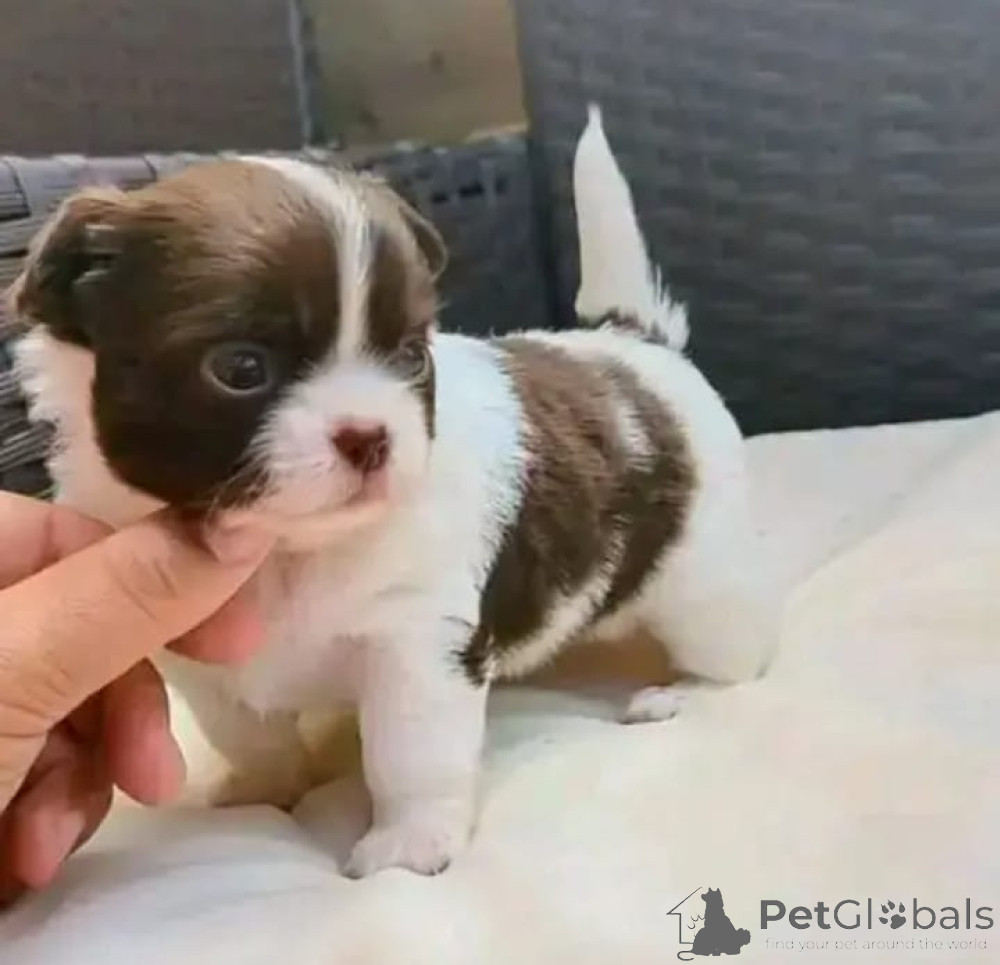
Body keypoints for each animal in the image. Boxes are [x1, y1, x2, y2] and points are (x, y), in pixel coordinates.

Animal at [7, 105, 775, 877]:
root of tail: (636, 341)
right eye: (240, 369)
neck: (289, 552)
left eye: (409, 357)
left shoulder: (416, 643)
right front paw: (267, 786)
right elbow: (248, 733)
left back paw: (679, 693)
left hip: (700, 589)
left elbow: (409, 754)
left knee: (739, 661)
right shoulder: (209, 664)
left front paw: (409, 843)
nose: (370, 435)